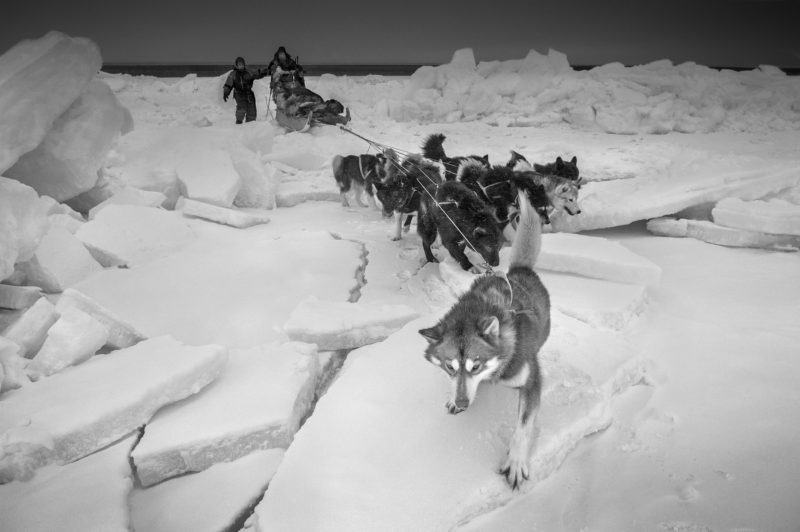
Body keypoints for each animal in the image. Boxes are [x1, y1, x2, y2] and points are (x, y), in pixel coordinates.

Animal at [418, 188, 552, 490]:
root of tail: (519, 271)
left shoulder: (531, 381)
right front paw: (454, 398)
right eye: (449, 367)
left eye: (475, 365)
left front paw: (516, 461)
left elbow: (523, 426)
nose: (462, 404)